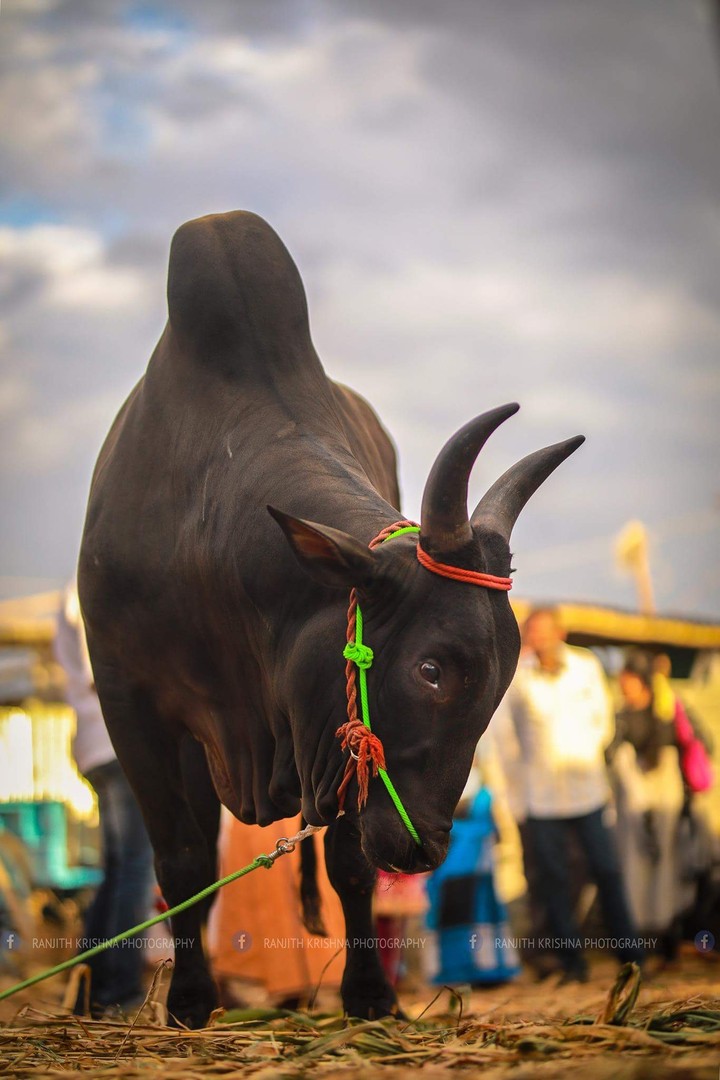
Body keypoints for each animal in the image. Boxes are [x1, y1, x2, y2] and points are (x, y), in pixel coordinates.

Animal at [78, 210, 583, 1027]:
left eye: (504, 682)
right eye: (431, 669)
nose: (425, 851)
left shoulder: (342, 748)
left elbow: (349, 864)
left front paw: (370, 994)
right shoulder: (133, 706)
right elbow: (182, 863)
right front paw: (189, 1002)